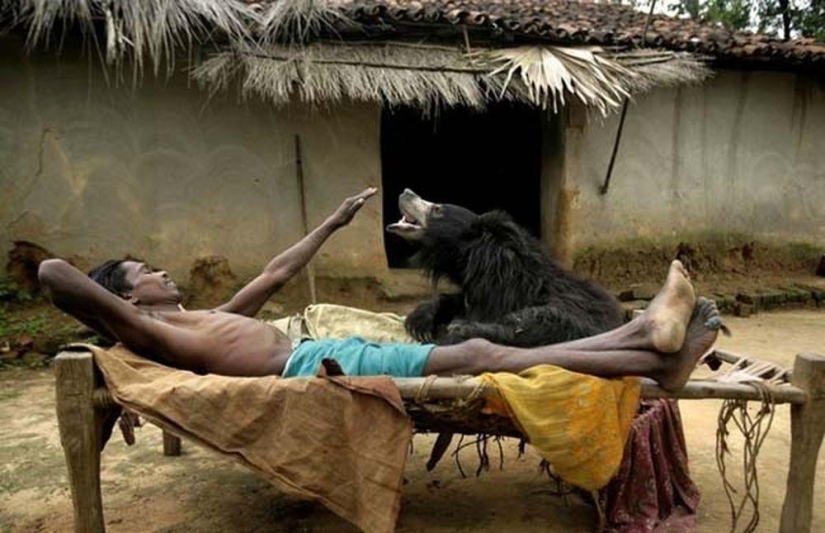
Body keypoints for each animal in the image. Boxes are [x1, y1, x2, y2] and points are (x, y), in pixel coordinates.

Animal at [386, 189, 625, 347]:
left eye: (437, 208)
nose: (406, 192)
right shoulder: (478, 293)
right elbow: (458, 300)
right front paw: (420, 321)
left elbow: (555, 321)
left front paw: (457, 329)